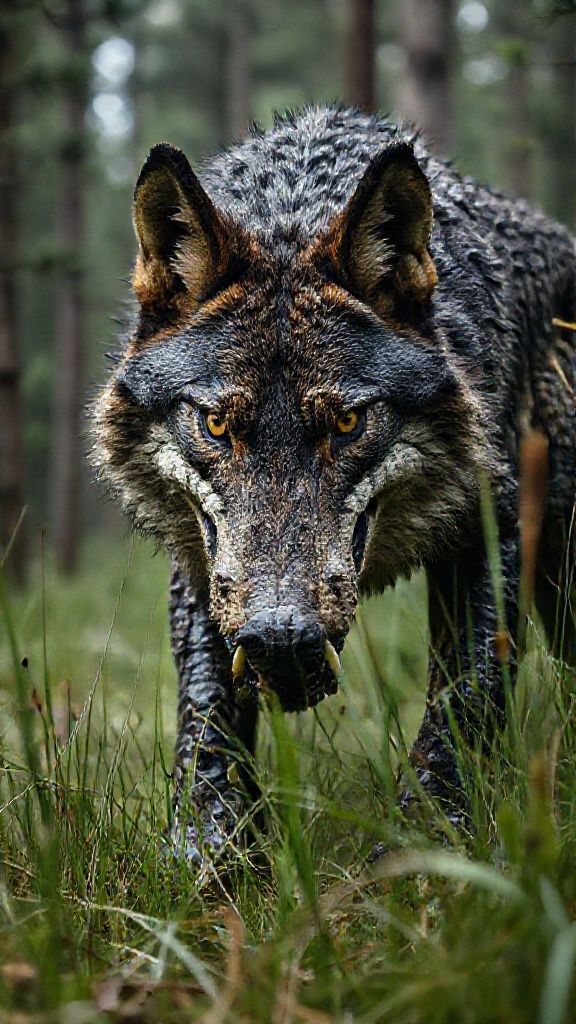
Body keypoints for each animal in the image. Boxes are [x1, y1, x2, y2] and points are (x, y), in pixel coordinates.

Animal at [93, 106, 575, 862]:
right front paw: (210, 853)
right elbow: (206, 712)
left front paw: (427, 849)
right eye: (215, 424)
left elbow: (464, 699)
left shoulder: (493, 531)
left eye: (348, 422)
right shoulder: (203, 561)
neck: (293, 205)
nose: (281, 639)